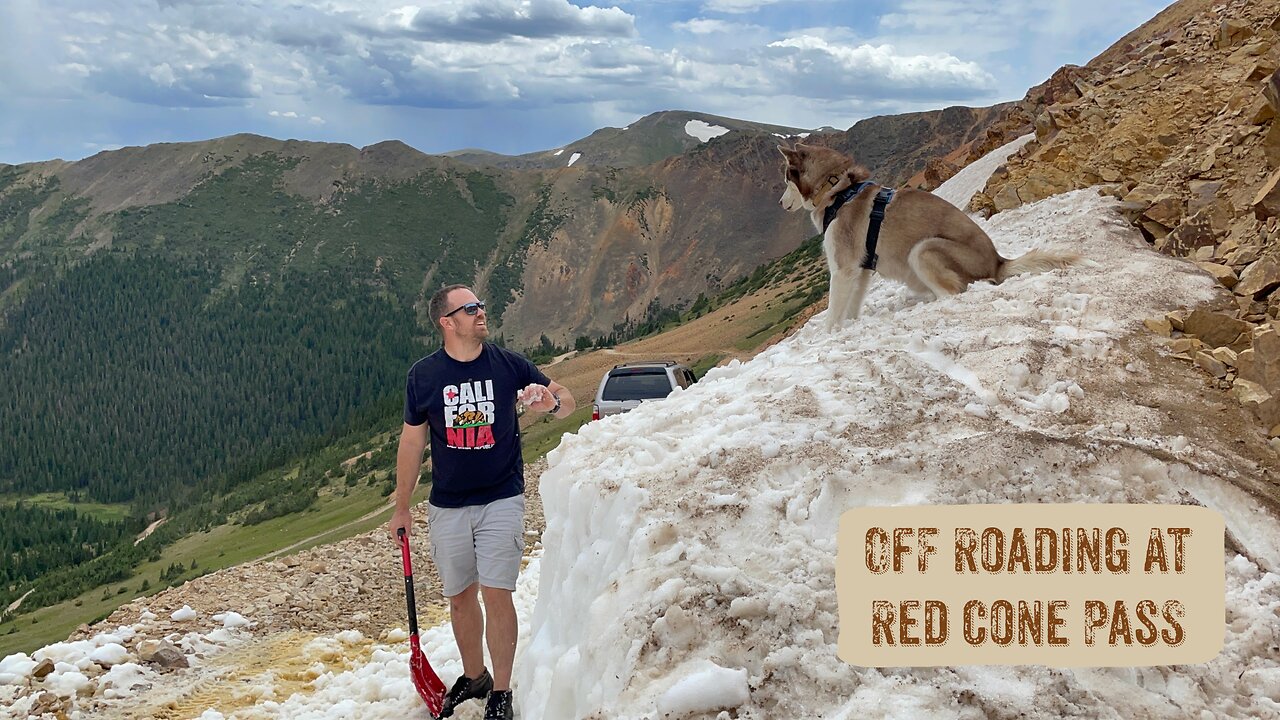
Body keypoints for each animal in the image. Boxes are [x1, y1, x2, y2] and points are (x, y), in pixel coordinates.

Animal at [778, 141, 1080, 326]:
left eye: (785, 180)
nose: (780, 204)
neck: (836, 189)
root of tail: (998, 262)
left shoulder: (843, 269)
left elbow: (831, 317)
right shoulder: (861, 269)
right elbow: (850, 308)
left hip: (923, 250)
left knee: (954, 292)